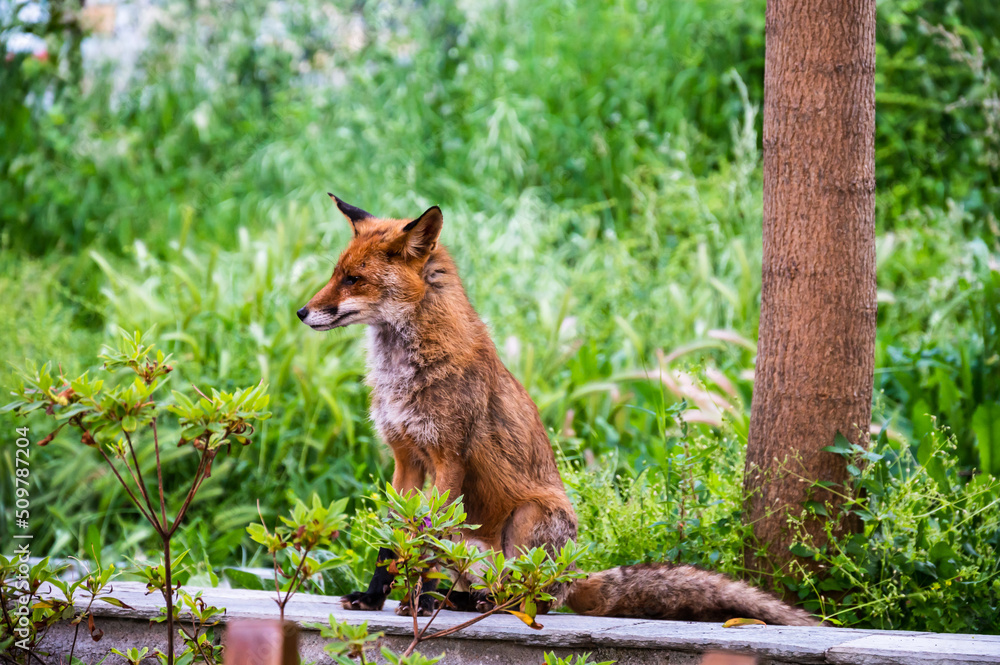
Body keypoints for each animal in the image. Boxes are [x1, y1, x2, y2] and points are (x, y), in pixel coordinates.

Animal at [294, 195, 812, 624]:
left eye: (353, 279)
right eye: (335, 273)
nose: (300, 312)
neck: (402, 371)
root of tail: (569, 573)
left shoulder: (448, 458)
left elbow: (425, 541)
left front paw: (416, 600)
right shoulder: (405, 459)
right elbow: (395, 542)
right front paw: (373, 596)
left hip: (529, 517)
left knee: (530, 599)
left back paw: (471, 601)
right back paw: (456, 599)